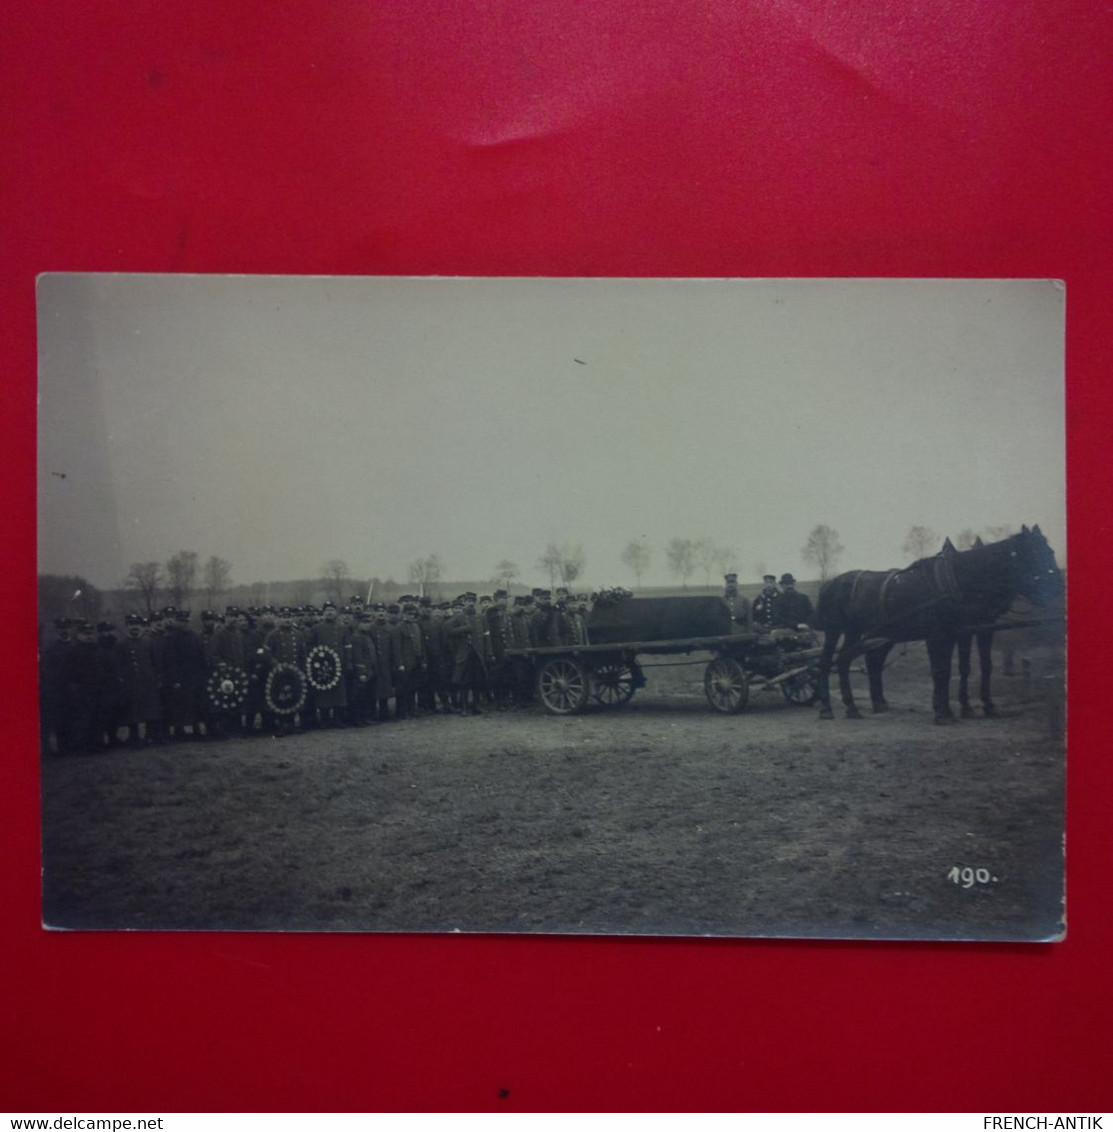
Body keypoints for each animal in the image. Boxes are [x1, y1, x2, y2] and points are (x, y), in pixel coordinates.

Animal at [819, 522, 1059, 719]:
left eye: (1051, 551)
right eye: (1035, 555)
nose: (1058, 587)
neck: (959, 580)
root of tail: (833, 582)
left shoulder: (969, 630)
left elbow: (970, 667)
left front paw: (976, 707)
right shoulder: (938, 634)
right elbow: (941, 670)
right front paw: (944, 712)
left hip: (871, 633)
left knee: (856, 660)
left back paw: (863, 706)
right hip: (835, 630)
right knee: (828, 661)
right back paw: (828, 709)